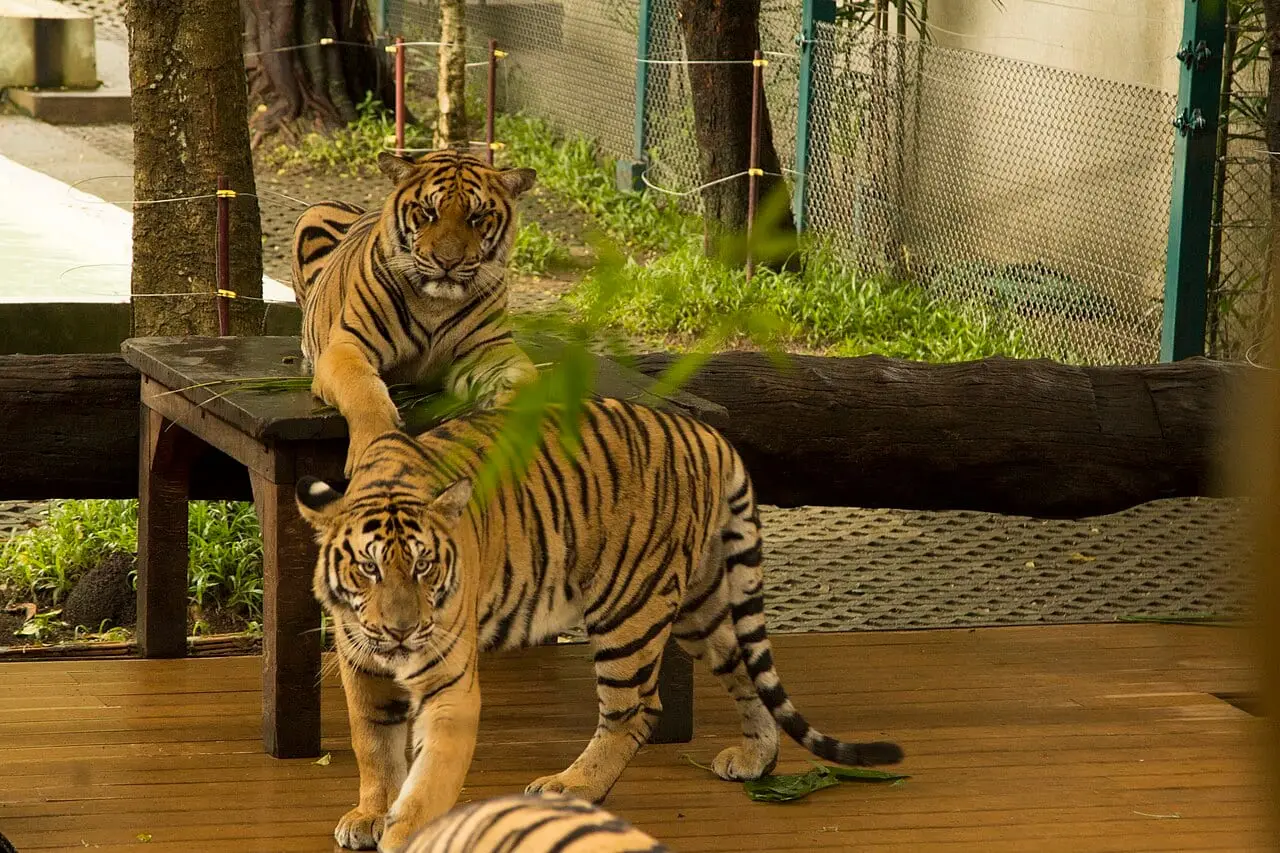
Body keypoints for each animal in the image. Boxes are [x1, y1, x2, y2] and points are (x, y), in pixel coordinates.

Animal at [289, 149, 539, 476]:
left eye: (476, 217)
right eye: (428, 212)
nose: (448, 262)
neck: (436, 303)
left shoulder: (491, 351)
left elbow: (530, 384)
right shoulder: (347, 345)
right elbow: (363, 389)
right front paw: (374, 449)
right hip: (311, 215)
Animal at [295, 397, 905, 853]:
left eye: (424, 567)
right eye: (369, 568)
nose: (401, 631)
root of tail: (707, 434)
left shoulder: (450, 682)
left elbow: (432, 772)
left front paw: (406, 831)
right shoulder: (360, 665)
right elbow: (375, 747)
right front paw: (372, 814)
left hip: (629, 608)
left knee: (635, 710)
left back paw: (572, 785)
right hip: (701, 606)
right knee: (744, 670)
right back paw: (756, 758)